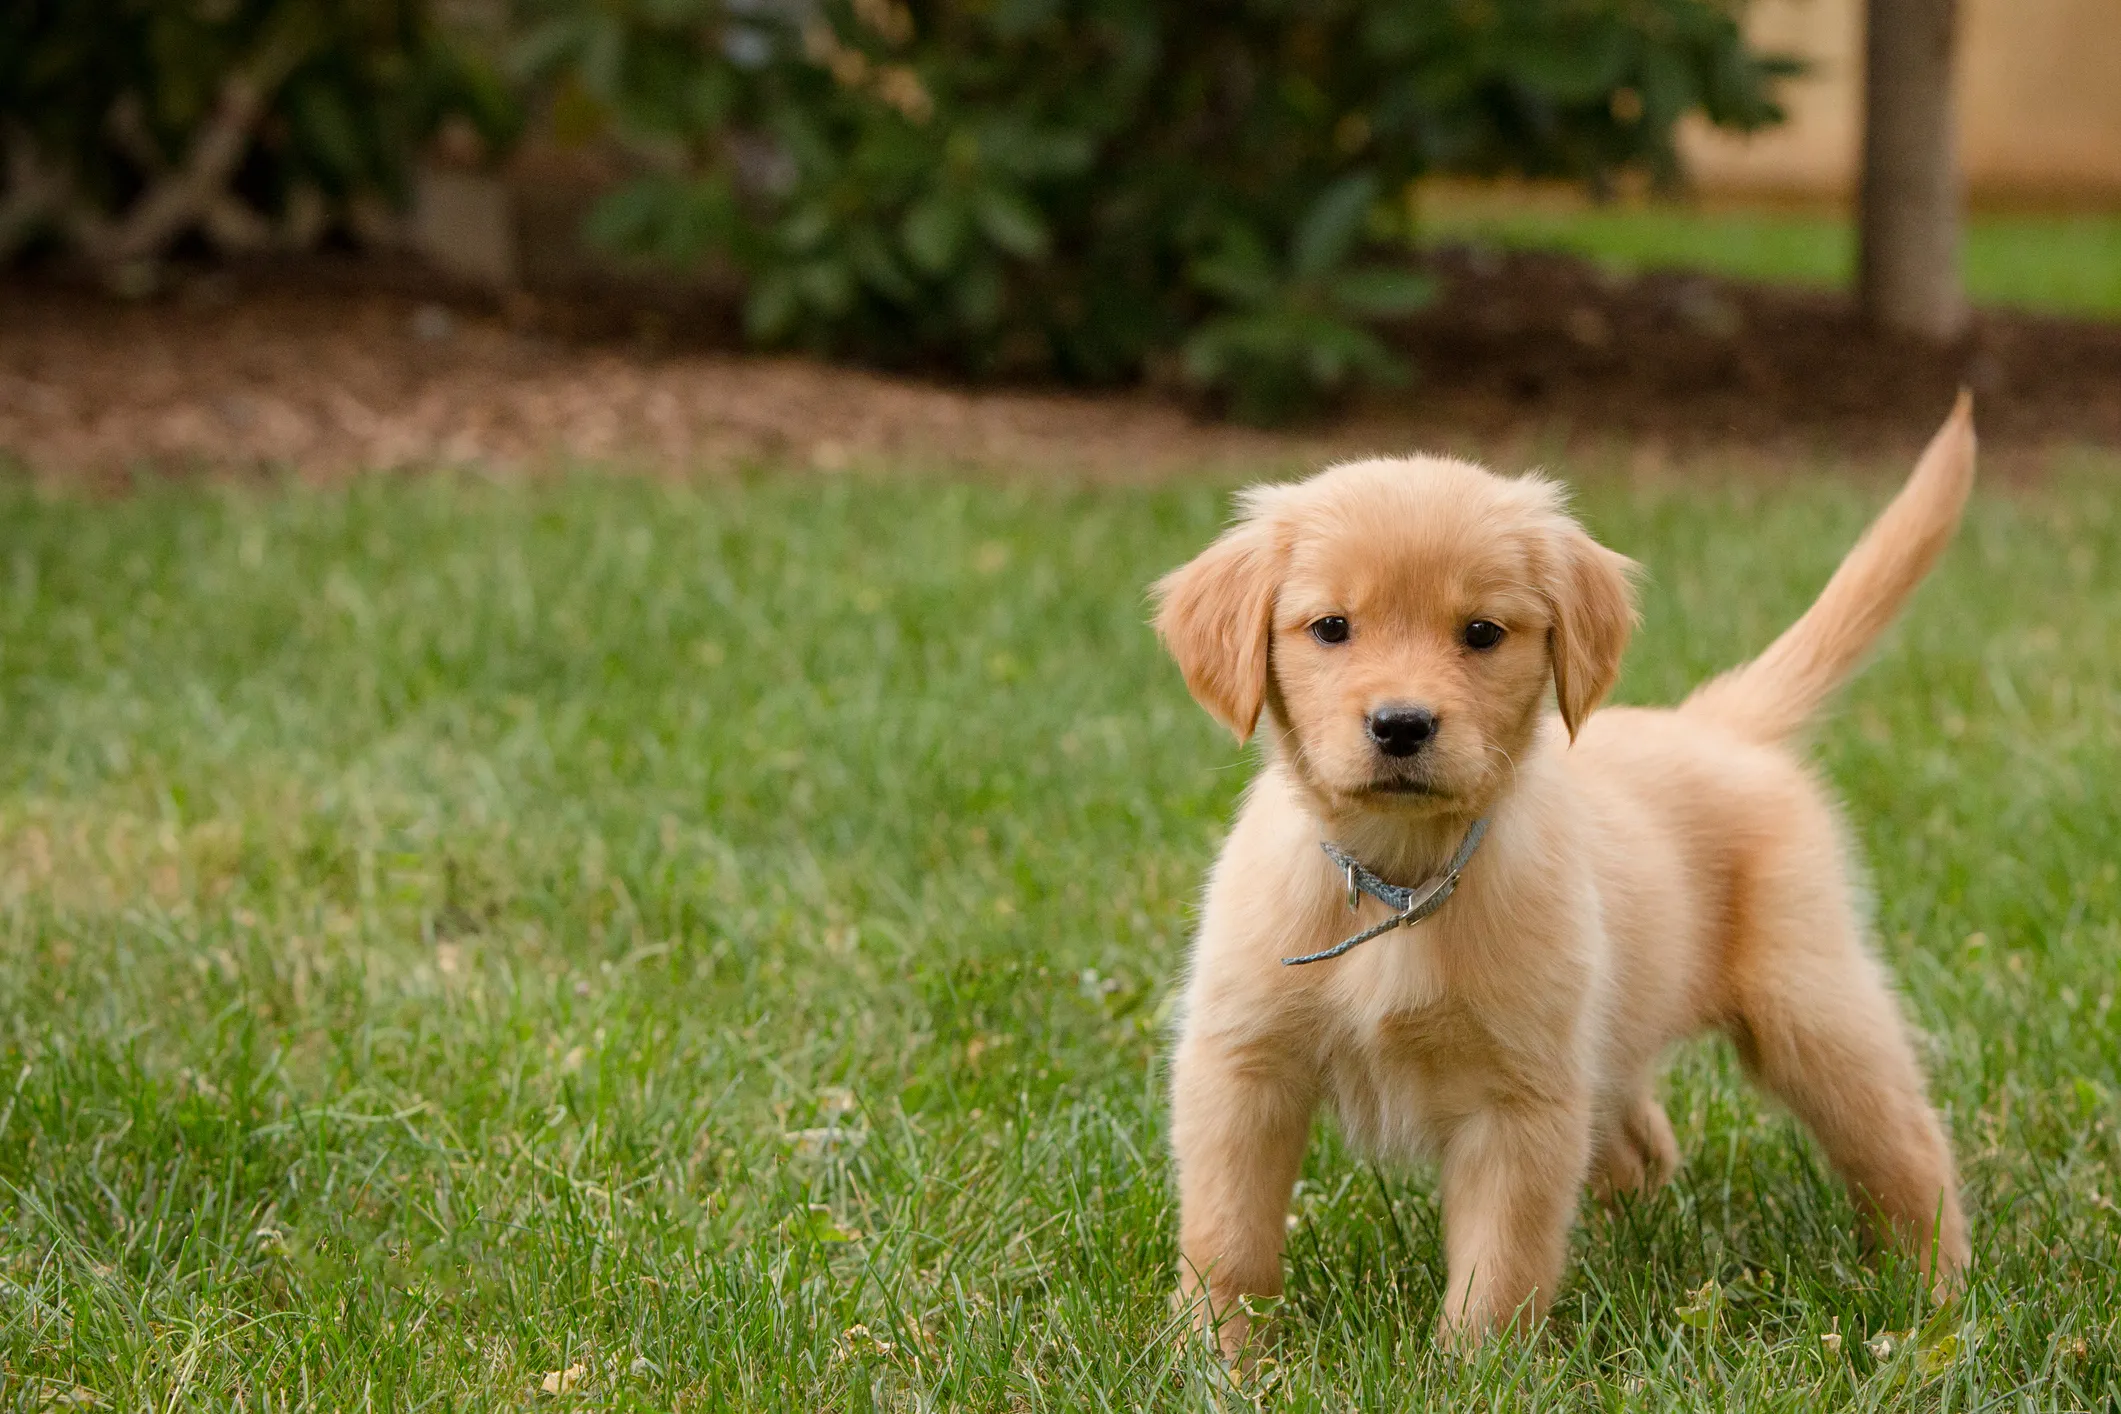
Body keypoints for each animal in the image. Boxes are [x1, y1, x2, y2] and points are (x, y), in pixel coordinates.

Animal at [1153, 392, 1976, 1356]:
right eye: (1330, 628)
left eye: (1480, 633)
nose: (1400, 725)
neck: (1401, 882)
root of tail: (1716, 724)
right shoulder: (1241, 1068)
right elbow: (1228, 1235)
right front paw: (1217, 1356)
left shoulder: (1522, 1099)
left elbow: (1499, 1264)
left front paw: (1472, 1369)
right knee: (1645, 1145)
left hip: (1809, 1005)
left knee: (1906, 1145)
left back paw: (1936, 1294)